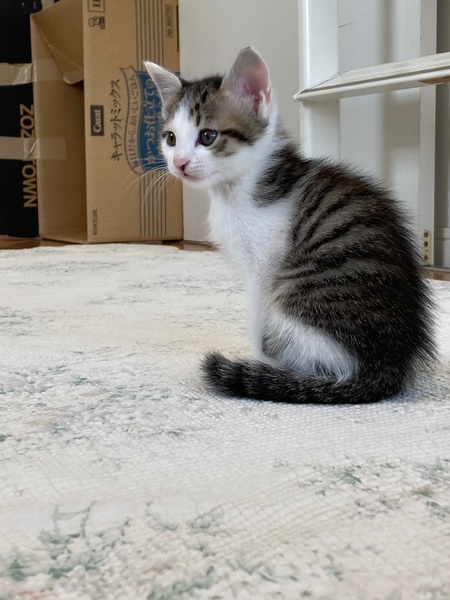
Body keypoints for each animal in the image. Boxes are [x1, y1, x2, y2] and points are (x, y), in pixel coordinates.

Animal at [144, 47, 435, 404]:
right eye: (171, 139)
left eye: (208, 136)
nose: (179, 163)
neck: (237, 188)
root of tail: (389, 366)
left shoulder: (265, 266)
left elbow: (259, 316)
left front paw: (258, 360)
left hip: (298, 298)